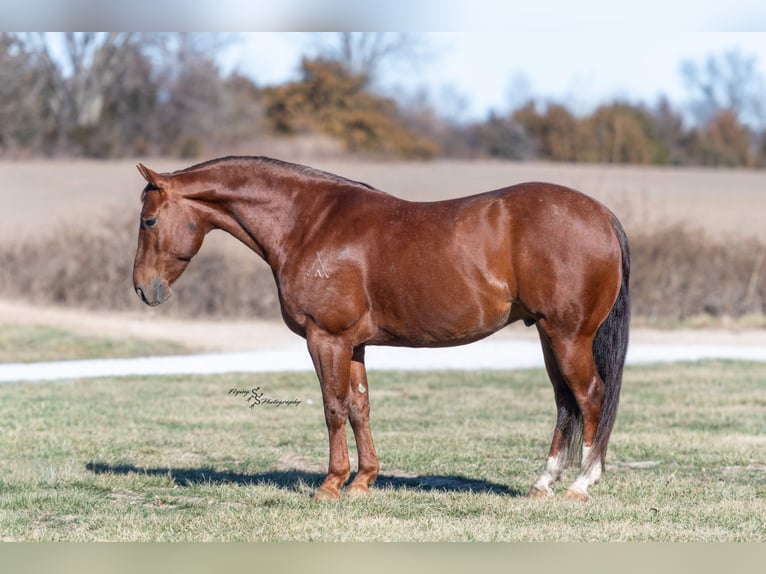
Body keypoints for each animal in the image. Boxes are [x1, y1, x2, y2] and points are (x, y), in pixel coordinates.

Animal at [132, 156, 630, 502]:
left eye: (148, 220)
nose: (143, 289)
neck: (308, 224)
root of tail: (603, 215)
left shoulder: (326, 338)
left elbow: (333, 407)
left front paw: (331, 485)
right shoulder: (353, 345)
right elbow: (359, 408)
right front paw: (362, 481)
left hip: (568, 337)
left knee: (590, 398)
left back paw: (581, 485)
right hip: (549, 337)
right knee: (565, 404)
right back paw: (543, 483)